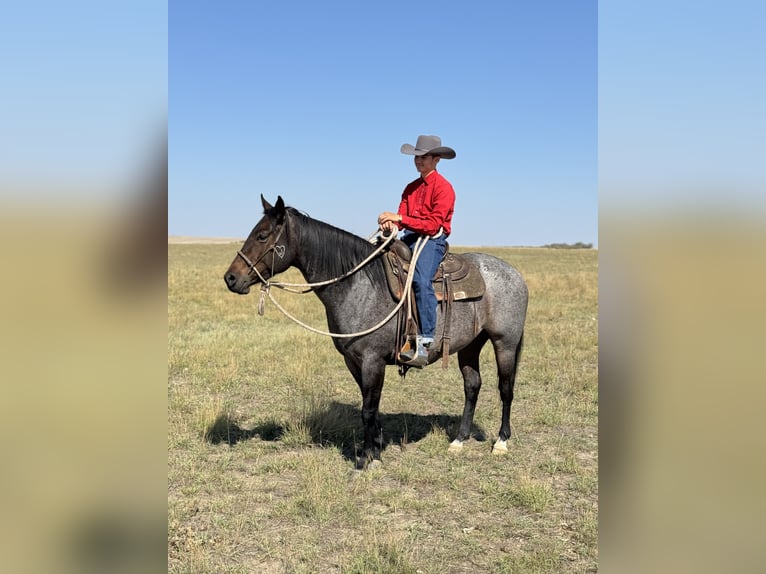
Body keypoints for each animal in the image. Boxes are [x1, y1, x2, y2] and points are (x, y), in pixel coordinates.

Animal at [224, 195, 528, 469]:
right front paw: (376, 449)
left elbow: (368, 409)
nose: (230, 278)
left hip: (505, 343)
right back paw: (459, 440)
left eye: (262, 235)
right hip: (470, 345)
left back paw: (501, 442)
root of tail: (515, 273)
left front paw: (366, 460)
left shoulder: (373, 360)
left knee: (505, 388)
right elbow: (370, 406)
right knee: (472, 385)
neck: (357, 284)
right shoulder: (354, 361)